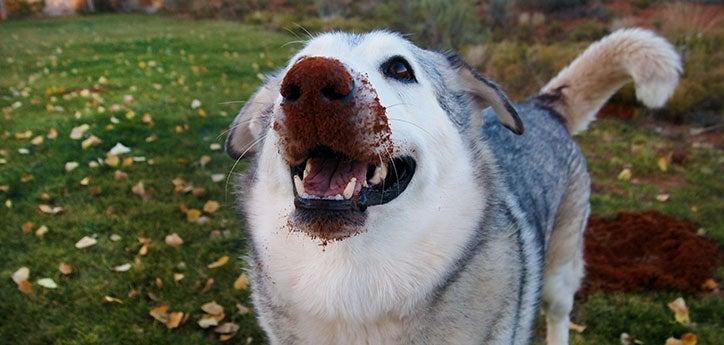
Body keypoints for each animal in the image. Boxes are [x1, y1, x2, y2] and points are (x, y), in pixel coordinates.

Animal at [225, 28, 680, 342]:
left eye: (399, 68)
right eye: (296, 64)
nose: (311, 81)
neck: (352, 285)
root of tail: (543, 107)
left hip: (561, 275)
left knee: (558, 315)